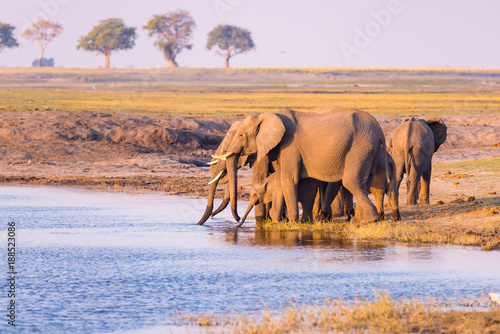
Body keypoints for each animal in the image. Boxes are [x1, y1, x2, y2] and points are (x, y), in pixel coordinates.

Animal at [210, 105, 386, 223]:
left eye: (241, 135)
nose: (237, 218)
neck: (268, 115)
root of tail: (379, 130)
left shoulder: (289, 145)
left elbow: (288, 179)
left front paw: (292, 223)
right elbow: (281, 178)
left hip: (360, 147)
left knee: (351, 182)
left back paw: (368, 220)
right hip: (367, 150)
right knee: (363, 182)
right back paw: (359, 219)